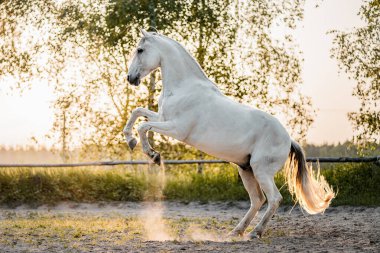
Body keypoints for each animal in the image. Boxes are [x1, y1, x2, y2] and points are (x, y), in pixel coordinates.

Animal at [123, 30, 334, 239]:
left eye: (140, 50)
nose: (130, 78)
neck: (184, 88)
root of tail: (288, 139)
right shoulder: (162, 117)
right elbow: (137, 112)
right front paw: (130, 140)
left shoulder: (176, 129)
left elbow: (143, 126)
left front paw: (153, 155)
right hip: (246, 169)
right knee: (257, 199)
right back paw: (236, 231)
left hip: (261, 170)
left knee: (274, 199)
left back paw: (254, 233)